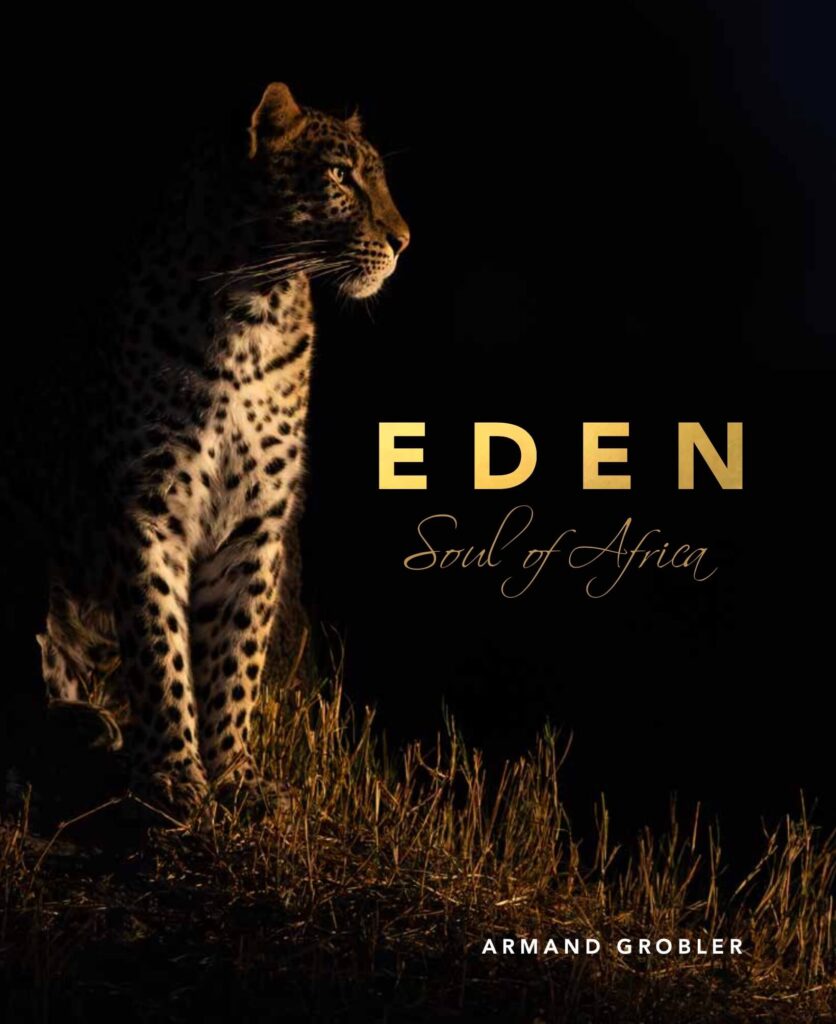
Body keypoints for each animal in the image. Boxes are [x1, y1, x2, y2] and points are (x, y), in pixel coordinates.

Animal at [0, 82, 409, 820]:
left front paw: (235, 775)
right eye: (340, 176)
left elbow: (236, 652)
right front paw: (171, 777)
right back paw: (79, 725)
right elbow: (159, 644)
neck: (252, 312)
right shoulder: (147, 507)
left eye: (379, 177)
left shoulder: (256, 522)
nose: (404, 241)